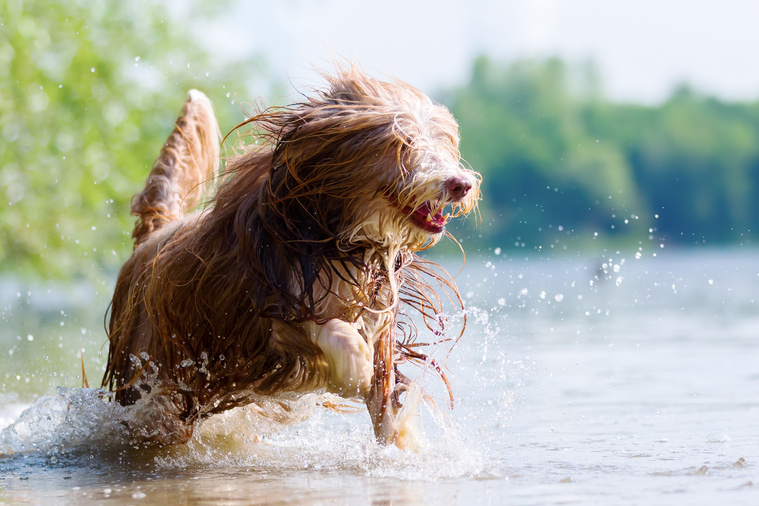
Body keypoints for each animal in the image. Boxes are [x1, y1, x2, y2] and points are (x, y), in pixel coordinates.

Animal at [101, 65, 480, 448]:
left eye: (444, 141)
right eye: (402, 142)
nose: (460, 184)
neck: (335, 238)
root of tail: (154, 235)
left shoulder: (380, 314)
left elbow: (383, 392)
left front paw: (401, 438)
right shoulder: (267, 312)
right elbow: (331, 333)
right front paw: (354, 368)